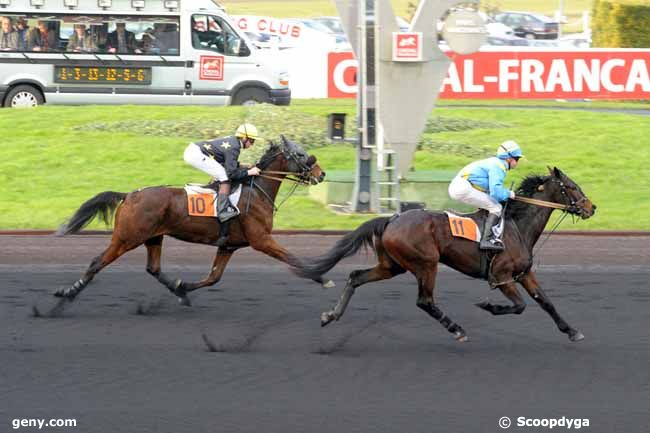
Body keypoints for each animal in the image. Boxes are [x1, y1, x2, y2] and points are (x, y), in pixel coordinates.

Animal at [54, 137, 330, 306]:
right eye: (300, 154)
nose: (321, 173)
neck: (256, 191)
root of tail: (129, 194)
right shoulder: (261, 240)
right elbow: (292, 258)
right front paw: (322, 277)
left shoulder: (228, 245)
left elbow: (213, 277)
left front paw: (184, 286)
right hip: (127, 238)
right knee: (97, 262)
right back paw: (66, 294)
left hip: (153, 237)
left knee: (153, 268)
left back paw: (177, 290)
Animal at [296, 167, 596, 342]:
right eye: (571, 187)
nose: (591, 207)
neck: (516, 226)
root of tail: (392, 219)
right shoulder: (501, 276)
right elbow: (520, 305)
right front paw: (488, 306)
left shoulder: (523, 273)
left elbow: (546, 302)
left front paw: (572, 331)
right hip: (426, 263)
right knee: (425, 301)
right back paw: (456, 329)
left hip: (392, 265)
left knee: (356, 276)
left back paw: (331, 315)